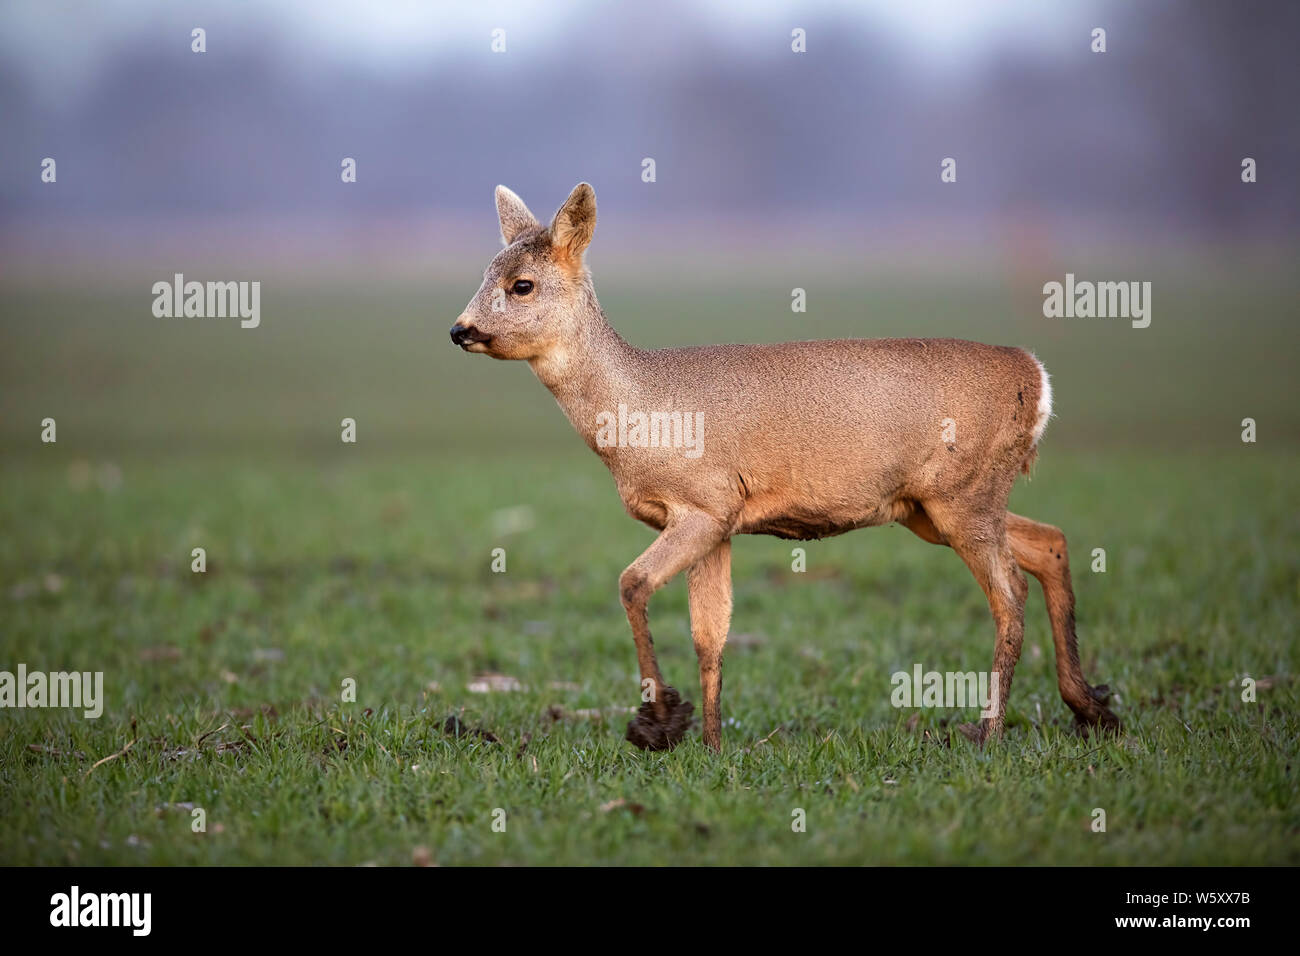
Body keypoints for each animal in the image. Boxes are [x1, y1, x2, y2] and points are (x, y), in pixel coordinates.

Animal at [447, 183, 1118, 754]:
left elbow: (632, 584)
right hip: (934, 508)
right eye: (485, 273)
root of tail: (1037, 378)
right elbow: (710, 634)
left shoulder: (703, 506)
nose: (459, 329)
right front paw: (710, 744)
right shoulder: (719, 523)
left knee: (1010, 592)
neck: (640, 408)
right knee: (1050, 543)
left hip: (963, 496)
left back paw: (990, 733)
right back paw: (1092, 708)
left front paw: (658, 723)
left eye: (522, 284)